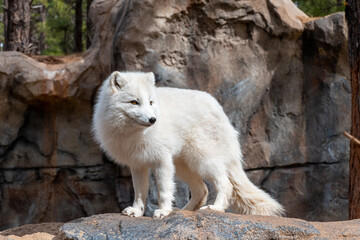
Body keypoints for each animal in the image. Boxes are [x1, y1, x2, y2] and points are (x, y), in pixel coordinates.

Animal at [93, 71, 284, 218]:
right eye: (134, 102)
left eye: (151, 102)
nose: (153, 119)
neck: (133, 134)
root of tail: (219, 108)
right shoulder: (138, 164)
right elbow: (139, 192)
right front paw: (137, 212)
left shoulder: (162, 161)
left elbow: (164, 190)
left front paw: (163, 211)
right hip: (184, 167)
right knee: (202, 190)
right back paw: (184, 211)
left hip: (201, 161)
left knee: (224, 184)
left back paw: (215, 208)